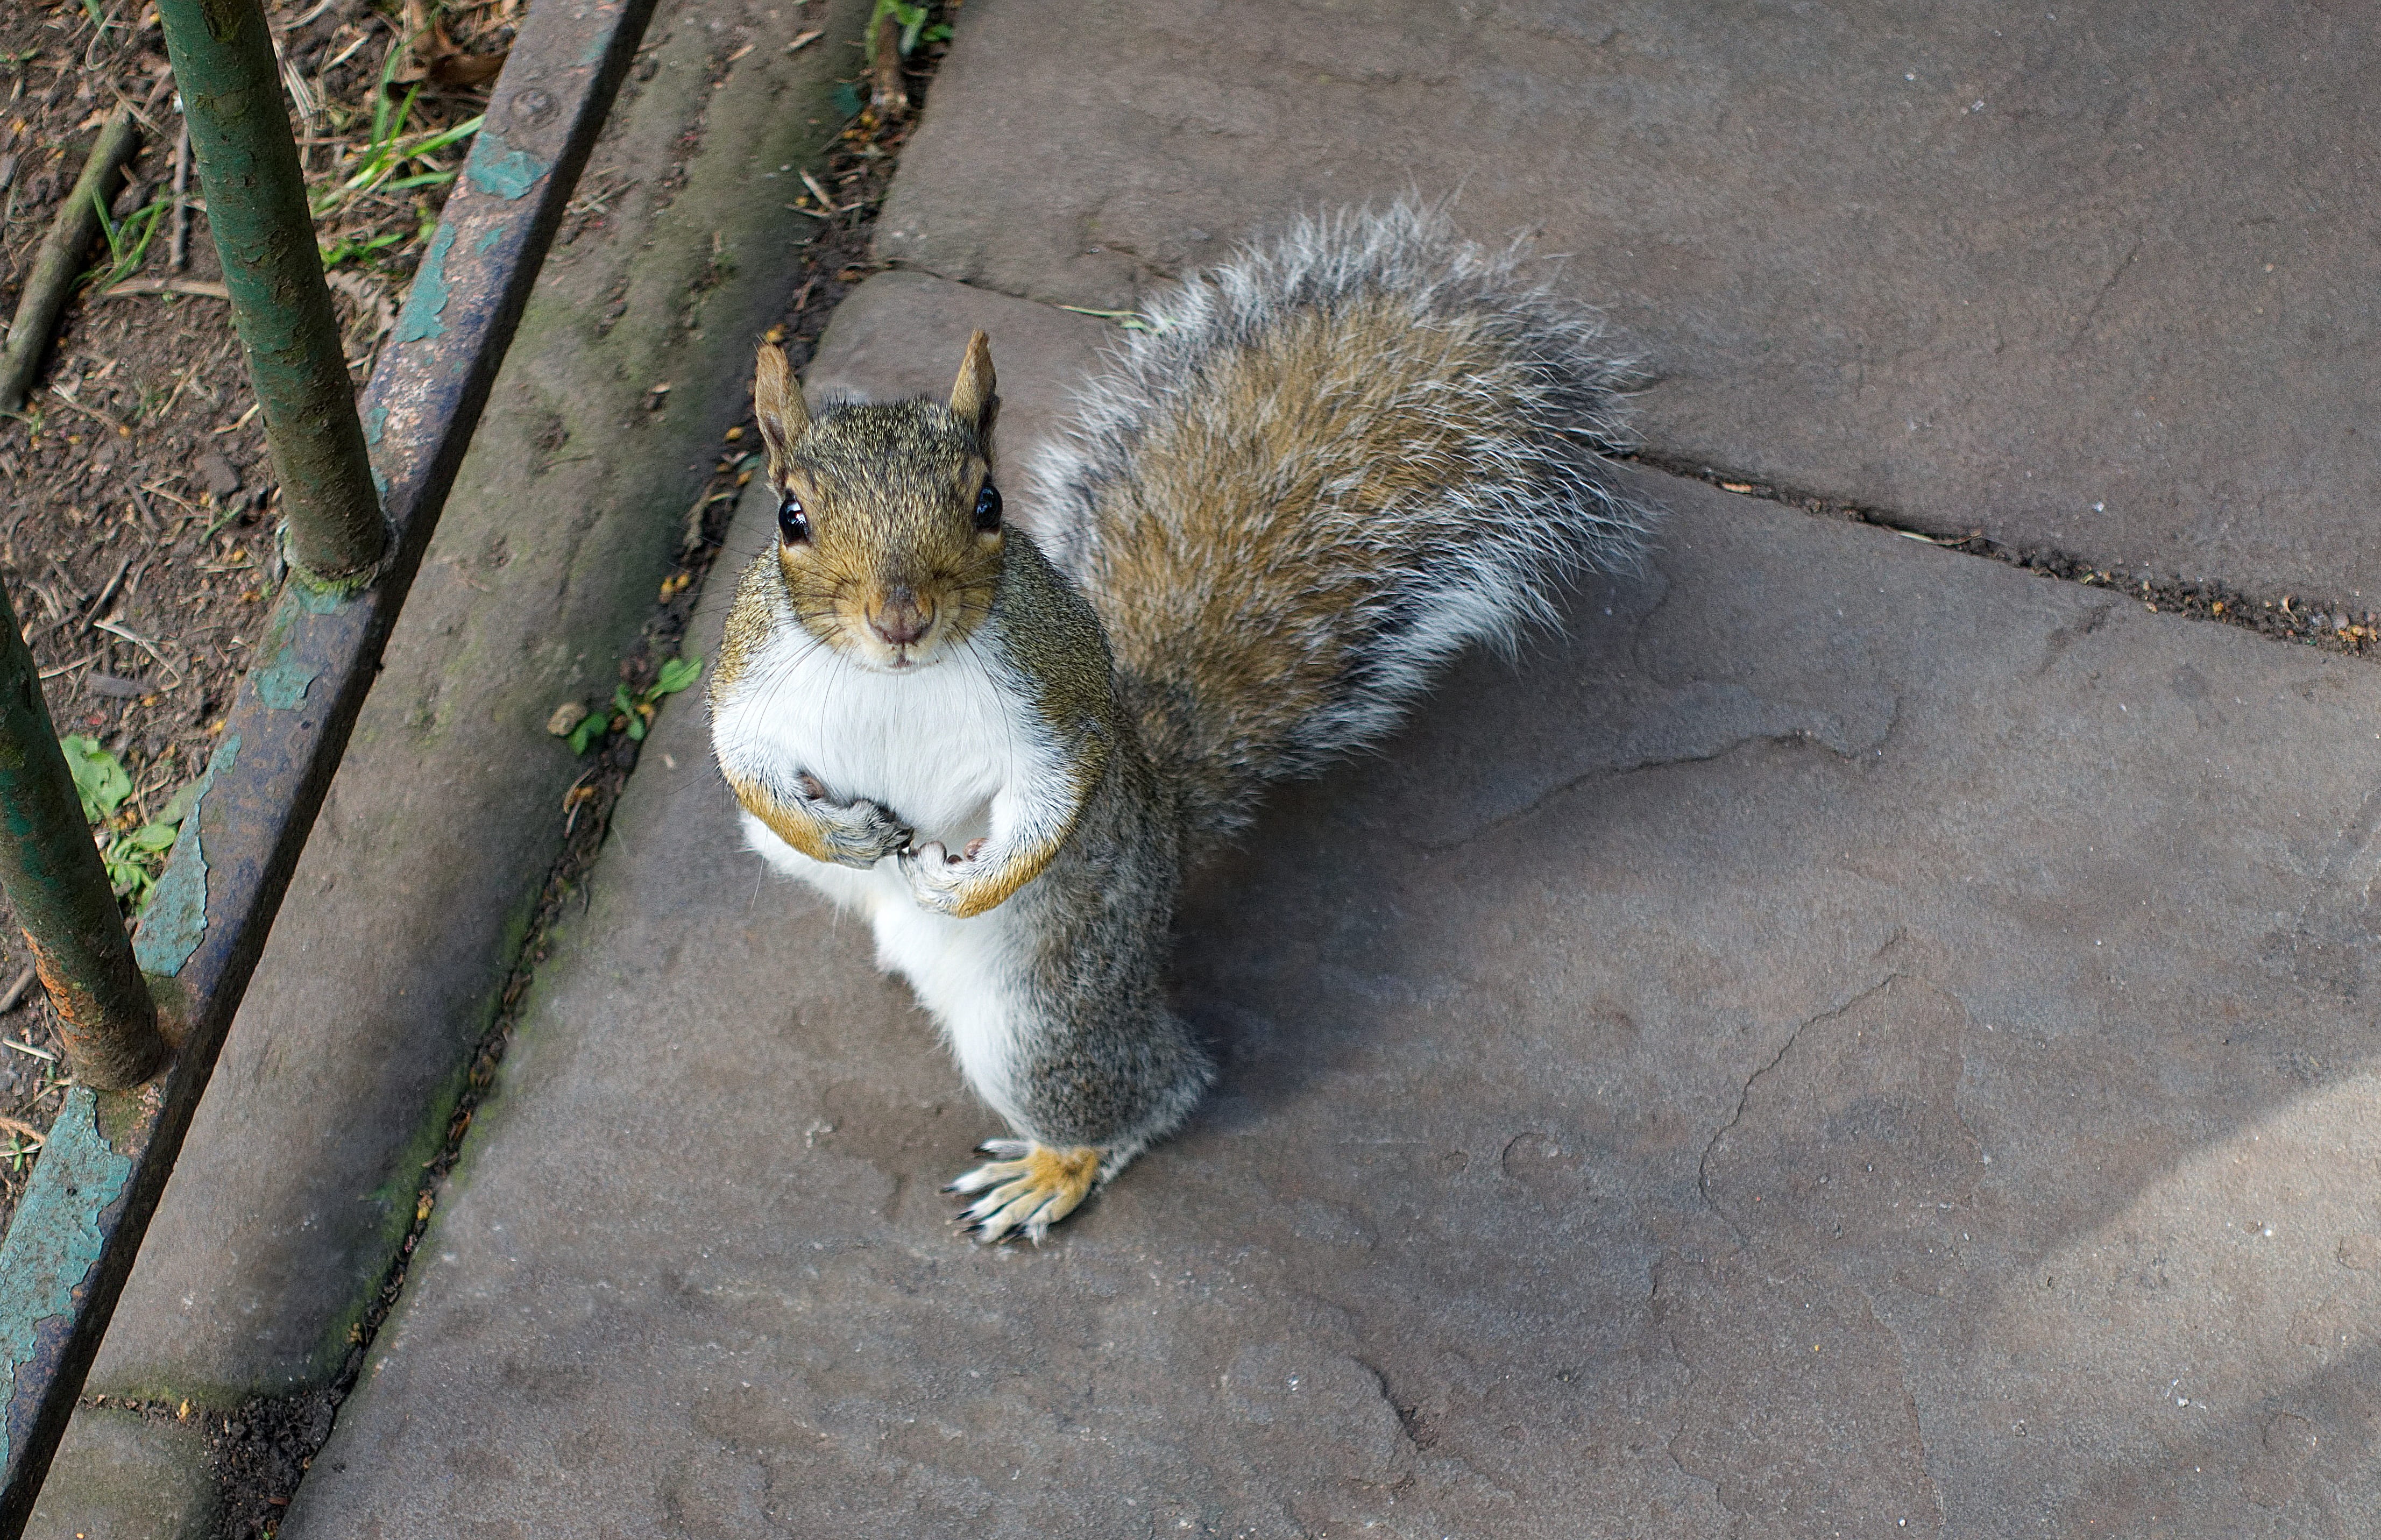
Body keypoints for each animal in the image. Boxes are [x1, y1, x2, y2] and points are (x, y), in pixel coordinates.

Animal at [707, 203, 1648, 1242]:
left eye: (987, 503)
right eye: (790, 517)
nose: (899, 618)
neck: (895, 679)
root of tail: (1165, 814)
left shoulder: (1059, 707)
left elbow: (1052, 801)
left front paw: (968, 883)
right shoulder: (749, 679)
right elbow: (741, 758)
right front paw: (832, 828)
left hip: (1045, 1018)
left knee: (1156, 1089)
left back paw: (1054, 1164)